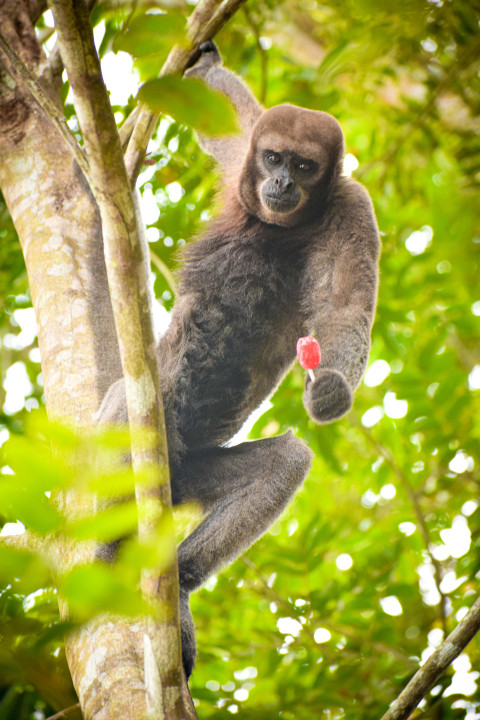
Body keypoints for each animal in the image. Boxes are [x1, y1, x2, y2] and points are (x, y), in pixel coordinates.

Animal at [97, 42, 380, 676]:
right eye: (273, 156)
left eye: (305, 166)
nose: (279, 180)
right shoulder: (245, 164)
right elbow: (227, 123)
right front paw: (204, 67)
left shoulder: (352, 206)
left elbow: (346, 305)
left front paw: (330, 387)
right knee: (125, 402)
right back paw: (104, 547)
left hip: (186, 476)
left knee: (287, 461)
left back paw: (179, 583)